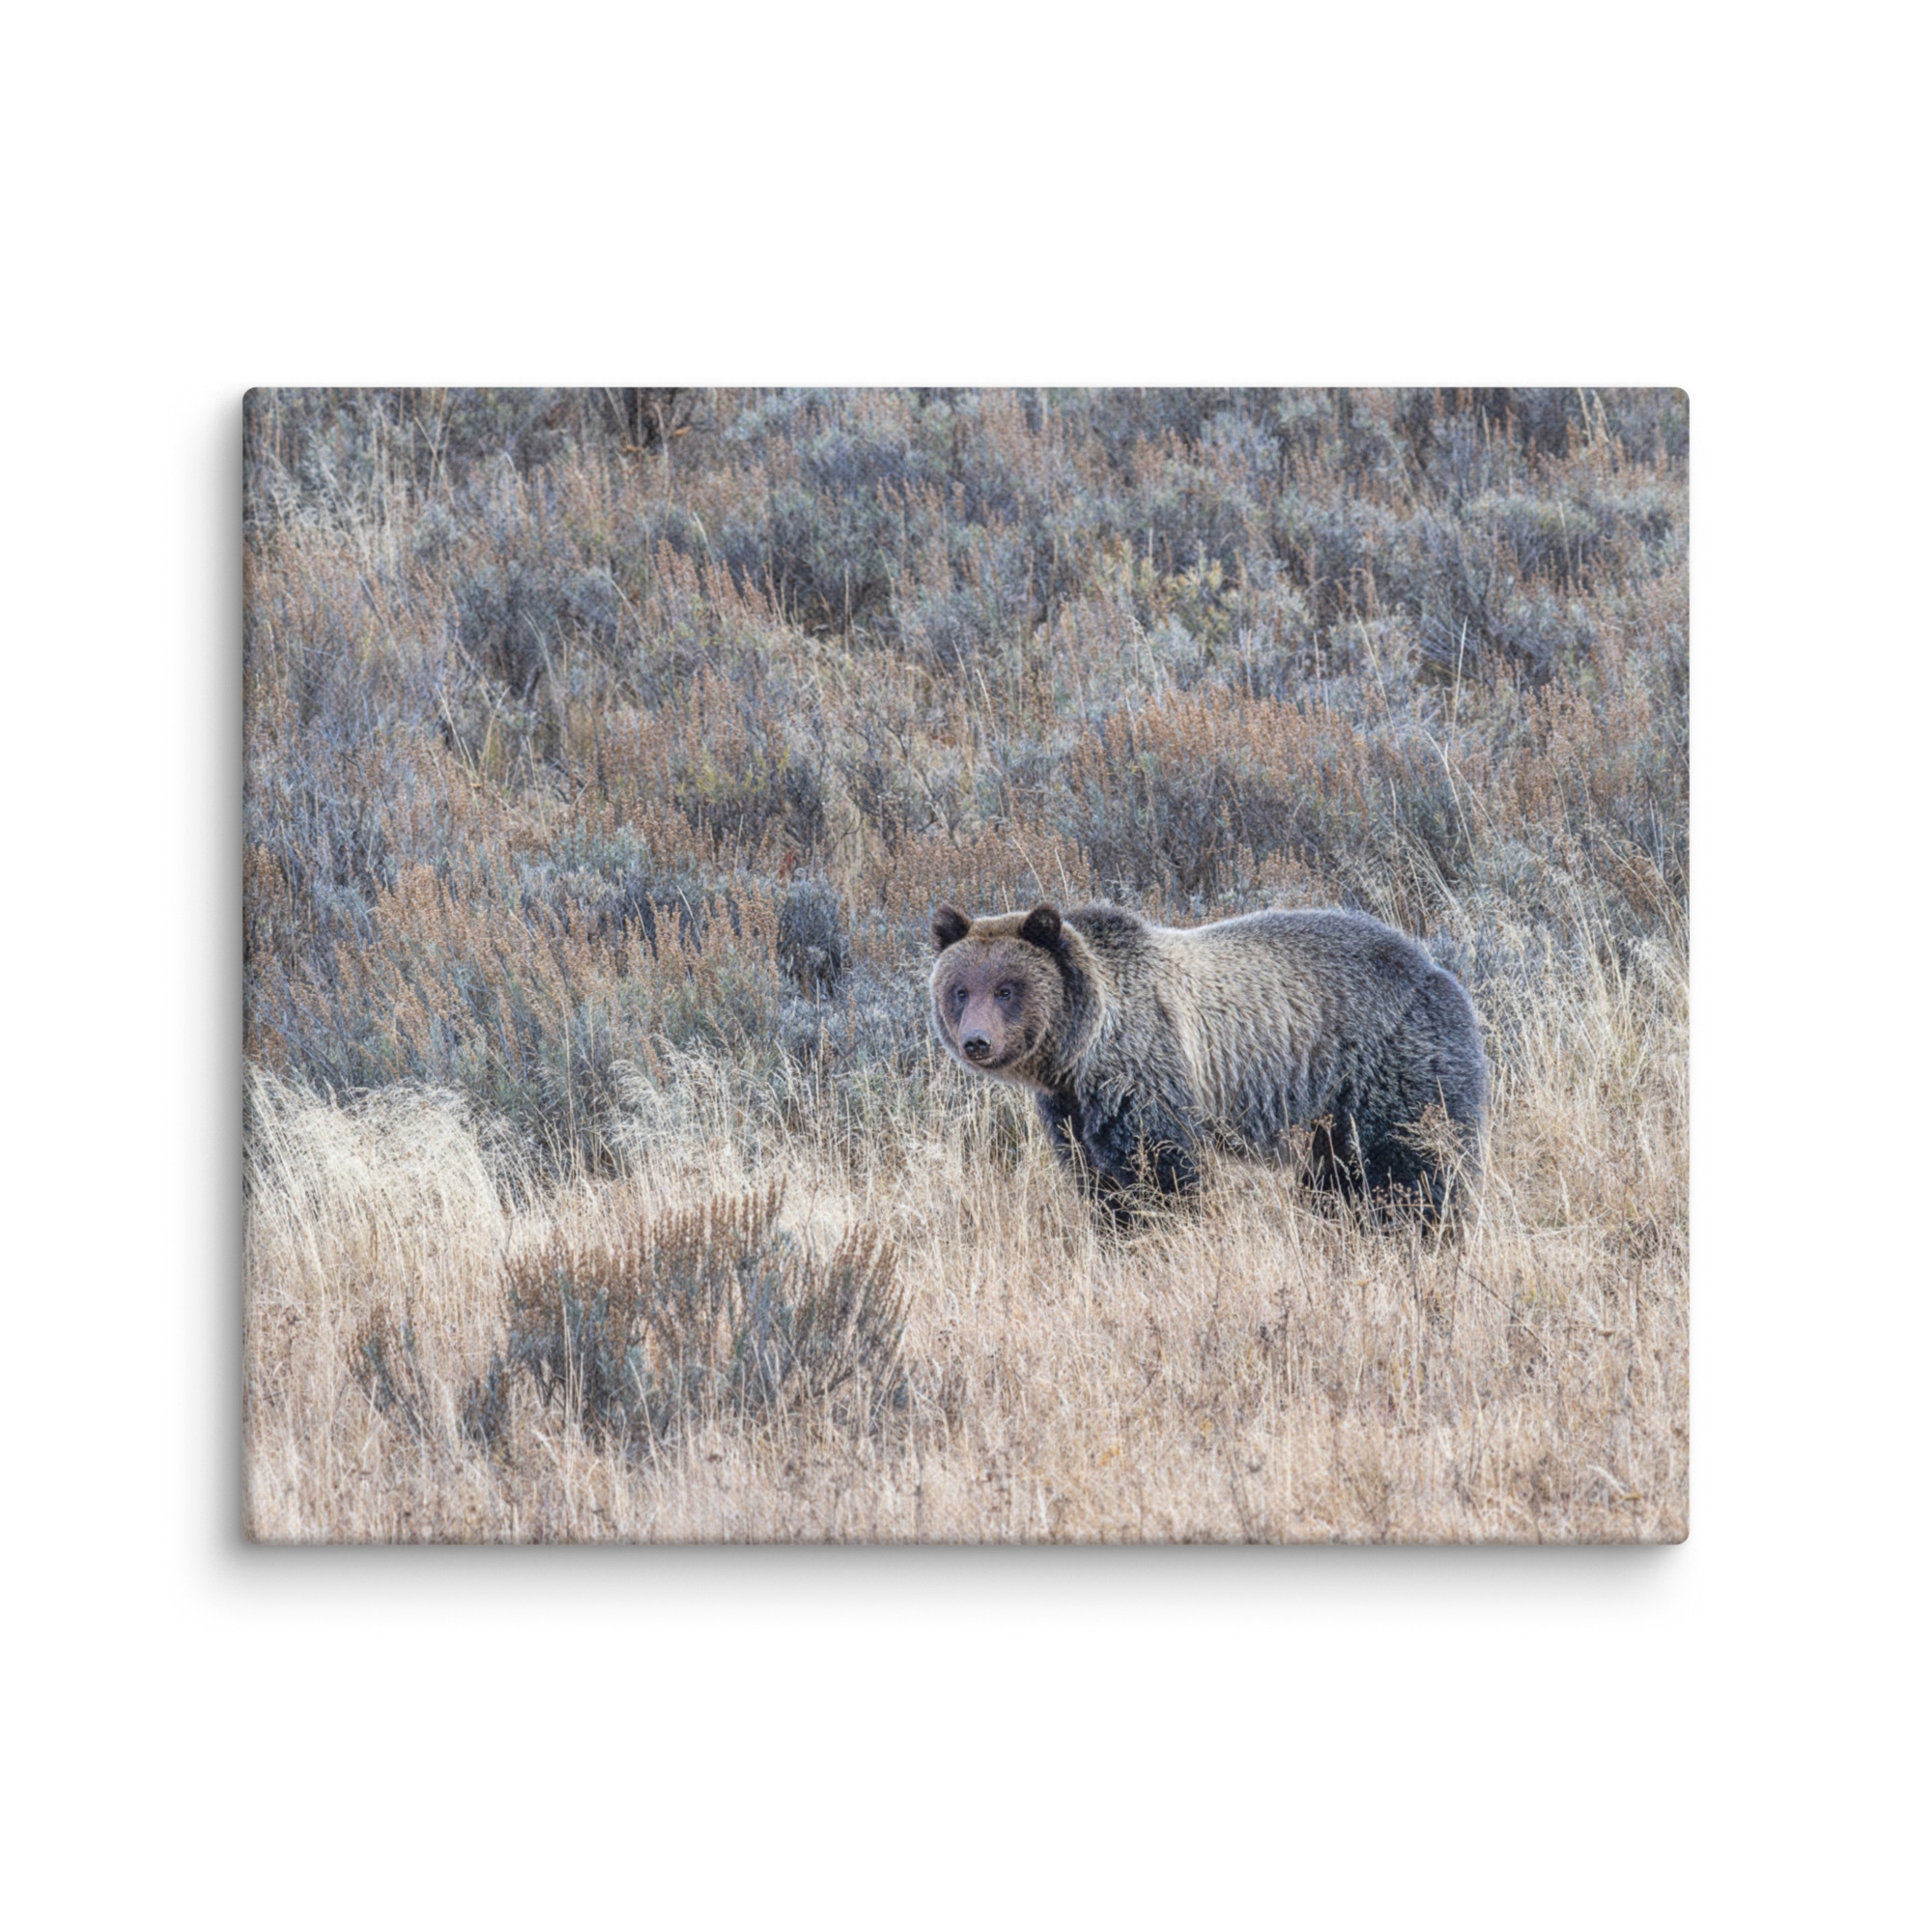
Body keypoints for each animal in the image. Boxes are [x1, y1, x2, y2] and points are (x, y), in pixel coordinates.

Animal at [929, 900, 1487, 1222]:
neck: (1081, 1052)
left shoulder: (1147, 1072)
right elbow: (1097, 1179)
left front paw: (1160, 1230)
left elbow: (1161, 1171)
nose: (977, 1042)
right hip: (1330, 1114)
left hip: (1390, 1065)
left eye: (1007, 989)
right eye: (960, 990)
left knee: (1412, 1164)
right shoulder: (1071, 1109)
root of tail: (1437, 969)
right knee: (1337, 1177)